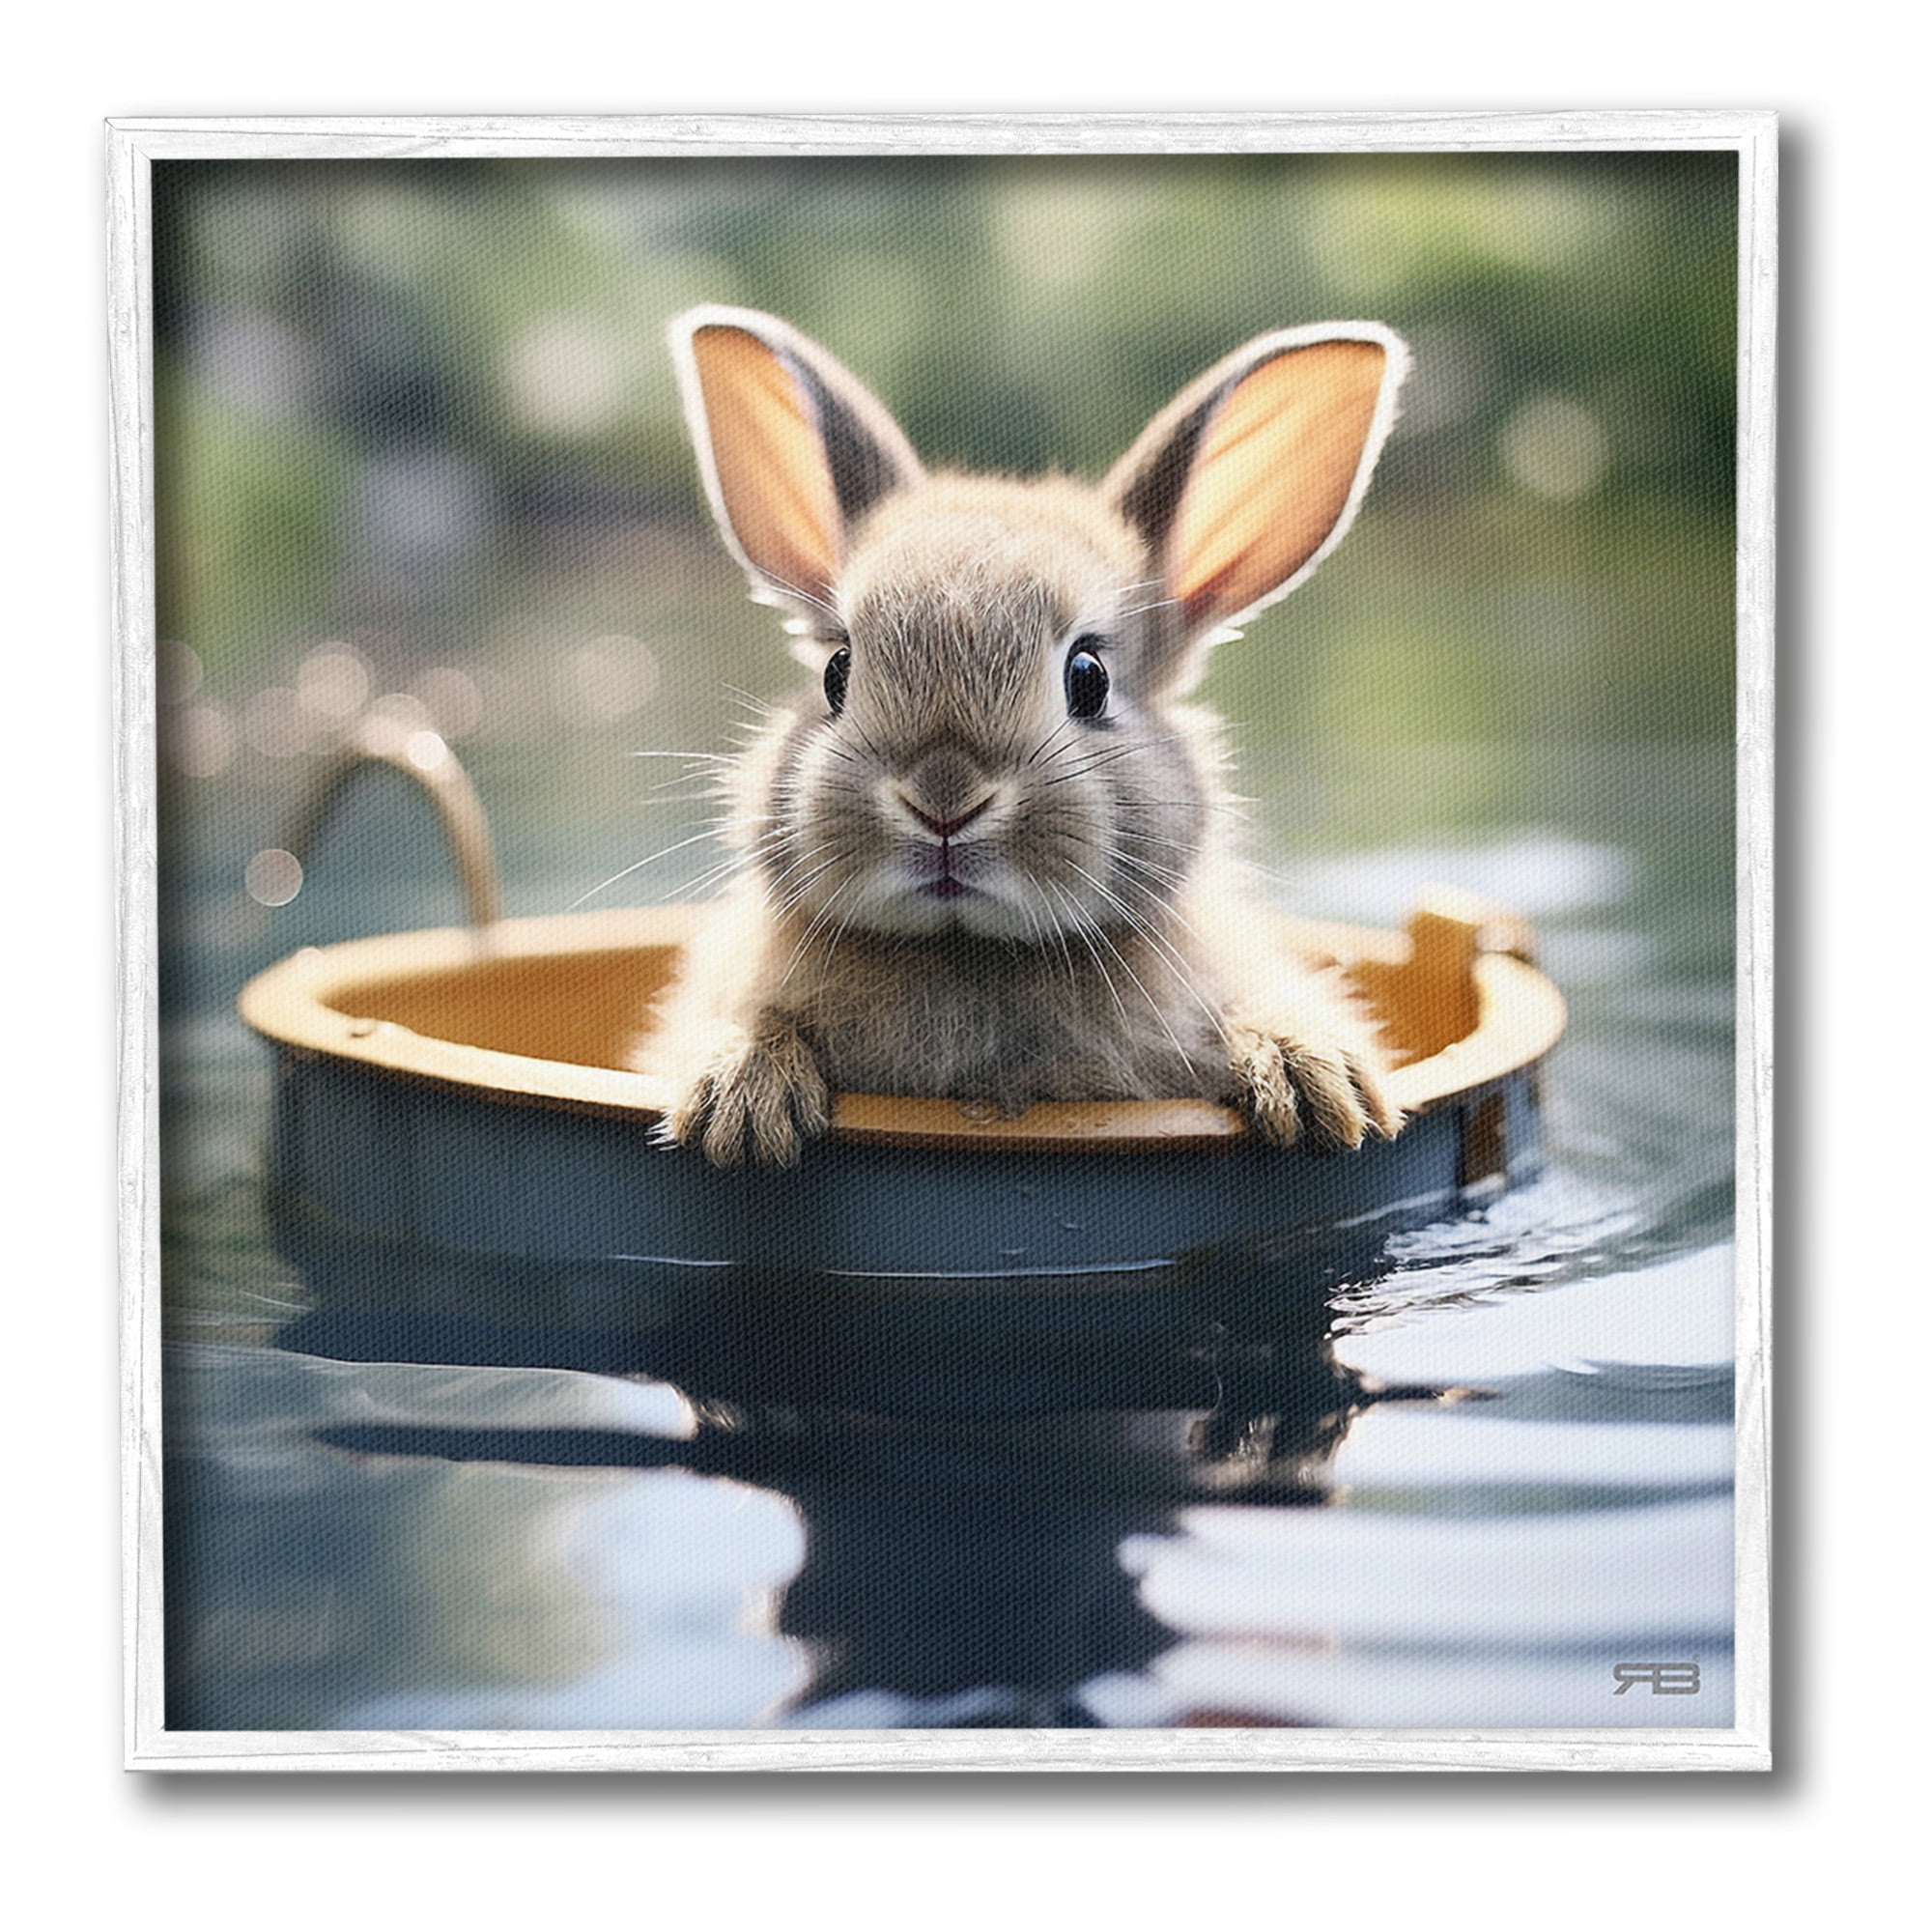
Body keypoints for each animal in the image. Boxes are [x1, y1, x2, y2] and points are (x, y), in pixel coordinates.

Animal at [640, 304, 1411, 1168]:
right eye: (838, 671)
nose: (944, 799)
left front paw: (1319, 1085)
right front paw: (740, 1102)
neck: (966, 950)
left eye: (1089, 677)